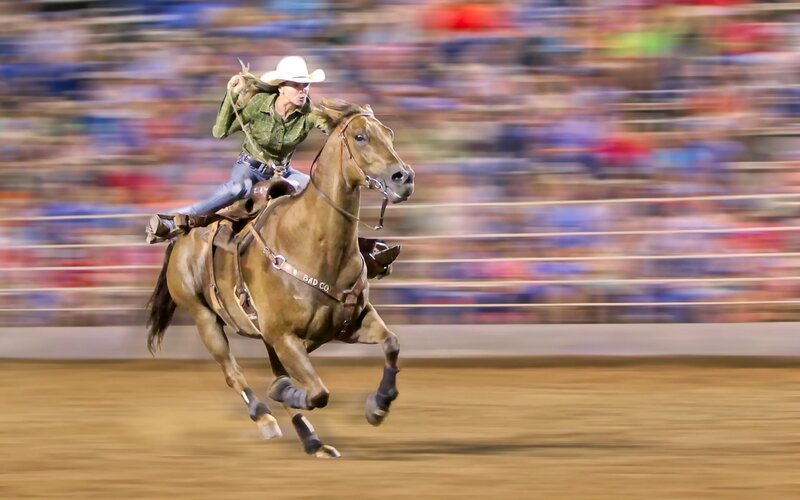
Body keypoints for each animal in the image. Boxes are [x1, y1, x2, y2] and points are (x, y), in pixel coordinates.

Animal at [145, 99, 415, 458]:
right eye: (360, 136)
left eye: (389, 133)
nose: (404, 178)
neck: (311, 243)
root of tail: (182, 240)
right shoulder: (286, 337)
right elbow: (317, 392)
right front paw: (284, 393)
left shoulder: (350, 323)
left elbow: (392, 344)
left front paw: (379, 406)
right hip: (205, 318)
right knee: (233, 373)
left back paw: (313, 441)